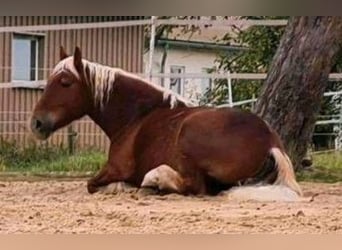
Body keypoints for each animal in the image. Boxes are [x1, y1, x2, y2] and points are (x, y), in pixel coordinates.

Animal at [30, 47, 302, 201]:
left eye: (65, 82)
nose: (36, 123)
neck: (137, 116)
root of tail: (270, 141)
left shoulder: (114, 168)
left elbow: (92, 184)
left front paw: (124, 188)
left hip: (189, 136)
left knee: (194, 187)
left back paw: (155, 182)